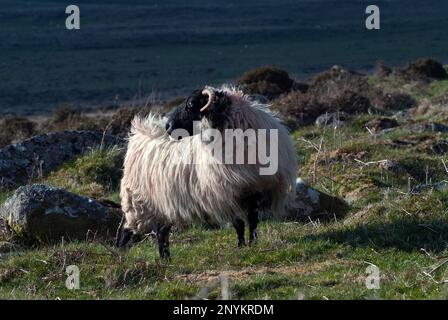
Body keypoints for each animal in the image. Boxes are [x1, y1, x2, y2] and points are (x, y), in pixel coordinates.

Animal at [116, 86, 298, 258]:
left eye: (191, 104)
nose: (168, 126)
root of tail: (141, 135)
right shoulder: (226, 193)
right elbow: (238, 223)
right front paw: (241, 246)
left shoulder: (253, 189)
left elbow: (253, 221)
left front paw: (253, 244)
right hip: (139, 200)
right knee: (132, 231)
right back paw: (123, 256)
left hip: (162, 203)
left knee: (162, 232)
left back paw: (165, 260)